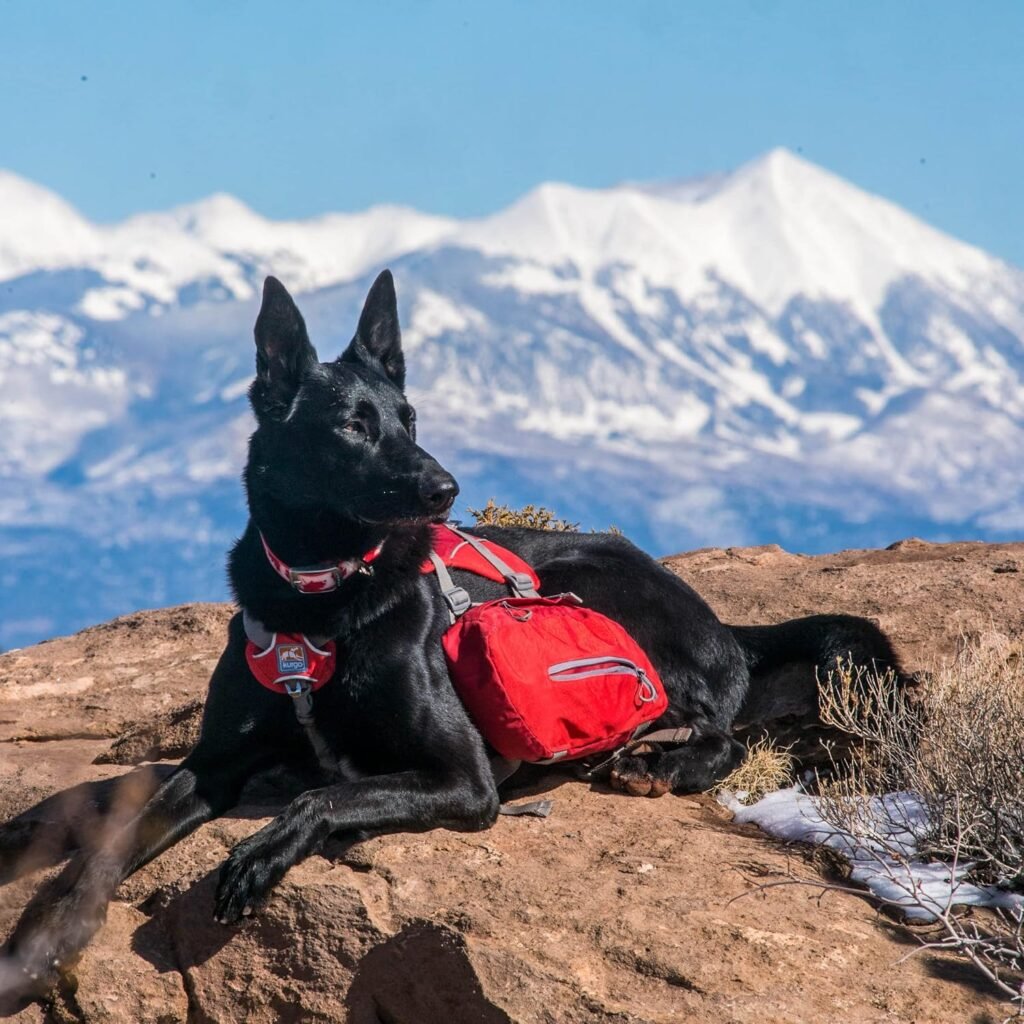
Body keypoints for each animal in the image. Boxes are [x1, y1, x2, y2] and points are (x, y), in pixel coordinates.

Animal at [0, 270, 901, 999]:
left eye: (408, 416)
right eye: (354, 425)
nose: (446, 487)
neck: (322, 599)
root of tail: (718, 619)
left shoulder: (465, 778)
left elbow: (328, 792)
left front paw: (263, 850)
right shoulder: (210, 765)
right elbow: (109, 846)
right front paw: (42, 945)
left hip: (600, 592)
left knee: (724, 730)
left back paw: (660, 761)